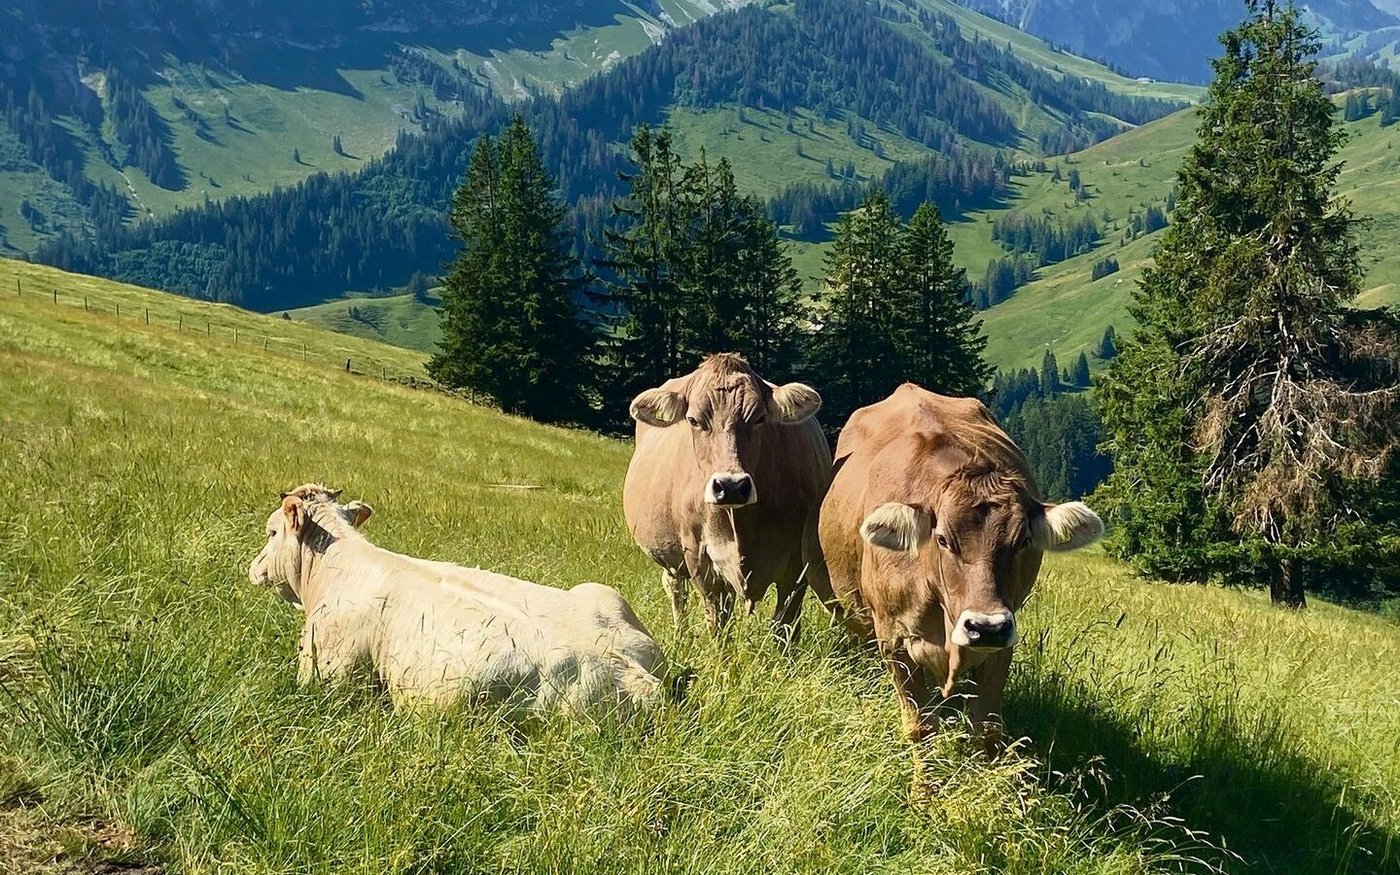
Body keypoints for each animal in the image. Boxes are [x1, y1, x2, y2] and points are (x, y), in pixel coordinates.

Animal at [623, 353, 834, 639]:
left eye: (759, 418)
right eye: (693, 420)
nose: (731, 485)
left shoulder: (797, 565)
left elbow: (785, 625)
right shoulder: (699, 556)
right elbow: (717, 624)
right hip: (672, 559)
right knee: (676, 590)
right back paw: (680, 636)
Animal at [819, 384, 1104, 745]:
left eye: (1023, 541)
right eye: (942, 539)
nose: (987, 626)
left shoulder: (1001, 644)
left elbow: (987, 729)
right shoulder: (892, 640)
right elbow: (920, 726)